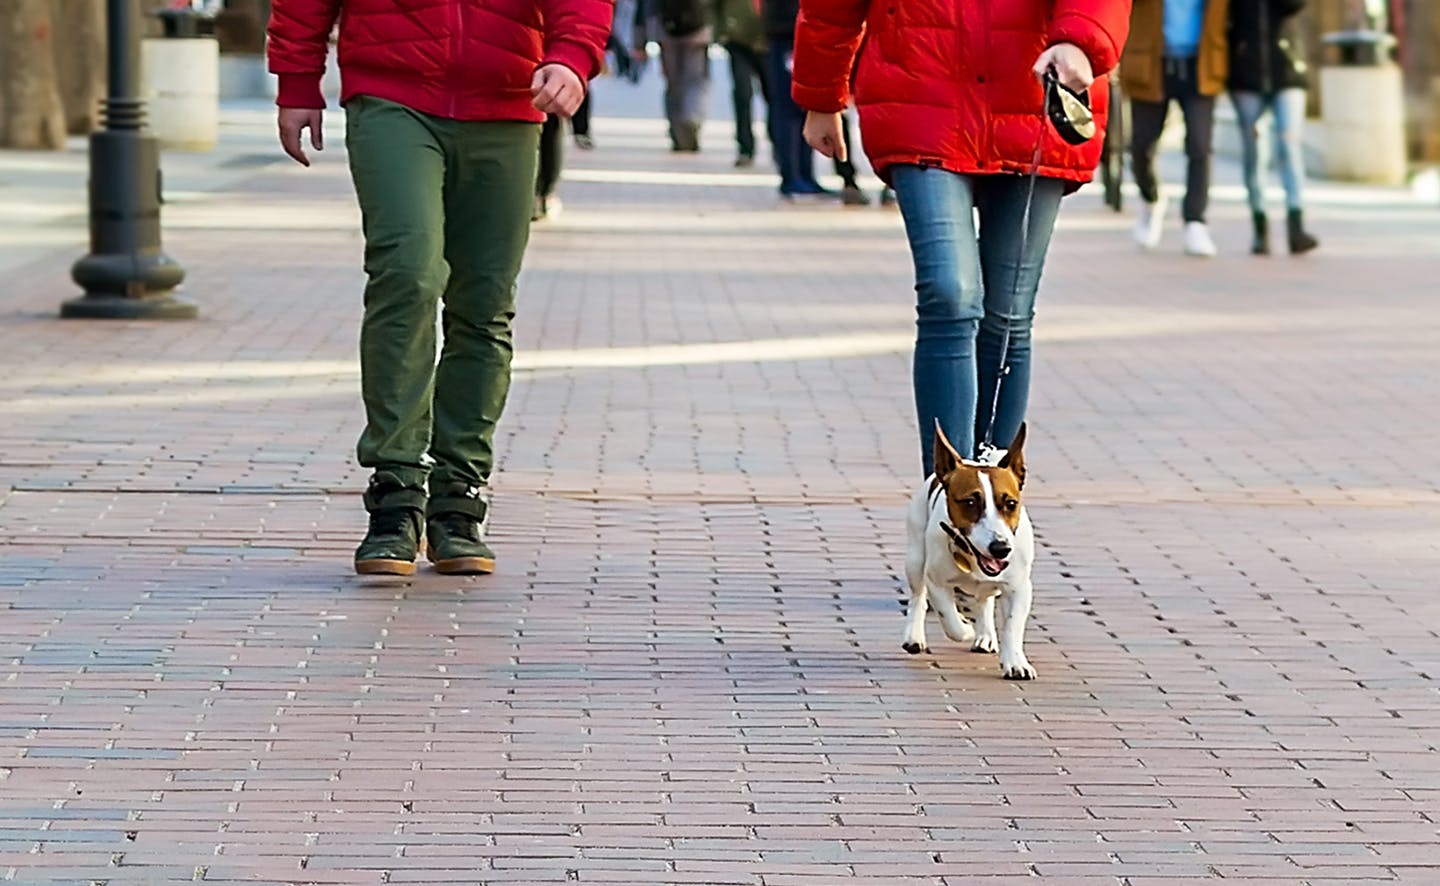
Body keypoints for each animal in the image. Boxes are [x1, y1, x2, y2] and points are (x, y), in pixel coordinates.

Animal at [898, 423, 1036, 679]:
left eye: (1011, 504)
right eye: (970, 502)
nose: (1001, 548)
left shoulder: (1019, 587)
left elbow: (1012, 626)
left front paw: (1015, 662)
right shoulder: (936, 582)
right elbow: (950, 620)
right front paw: (965, 629)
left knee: (985, 601)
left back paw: (986, 635)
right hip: (915, 558)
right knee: (918, 597)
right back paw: (915, 636)